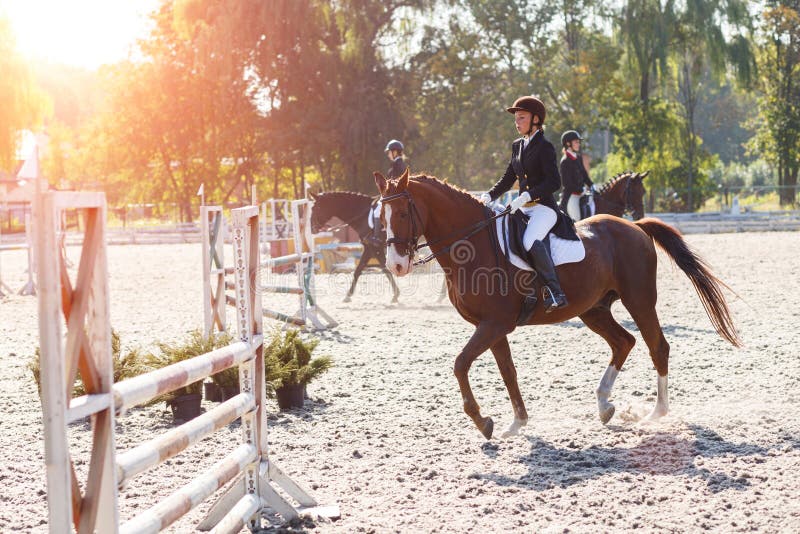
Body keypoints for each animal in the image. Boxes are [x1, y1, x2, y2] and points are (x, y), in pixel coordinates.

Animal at [378, 170, 740, 442]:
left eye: (403, 213)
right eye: (381, 217)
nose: (395, 265)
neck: (475, 243)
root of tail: (634, 227)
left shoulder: (494, 324)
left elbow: (460, 364)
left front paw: (483, 421)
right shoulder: (494, 327)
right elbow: (507, 372)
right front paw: (516, 423)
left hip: (639, 300)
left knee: (657, 346)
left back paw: (656, 413)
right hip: (593, 309)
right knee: (624, 342)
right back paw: (604, 405)